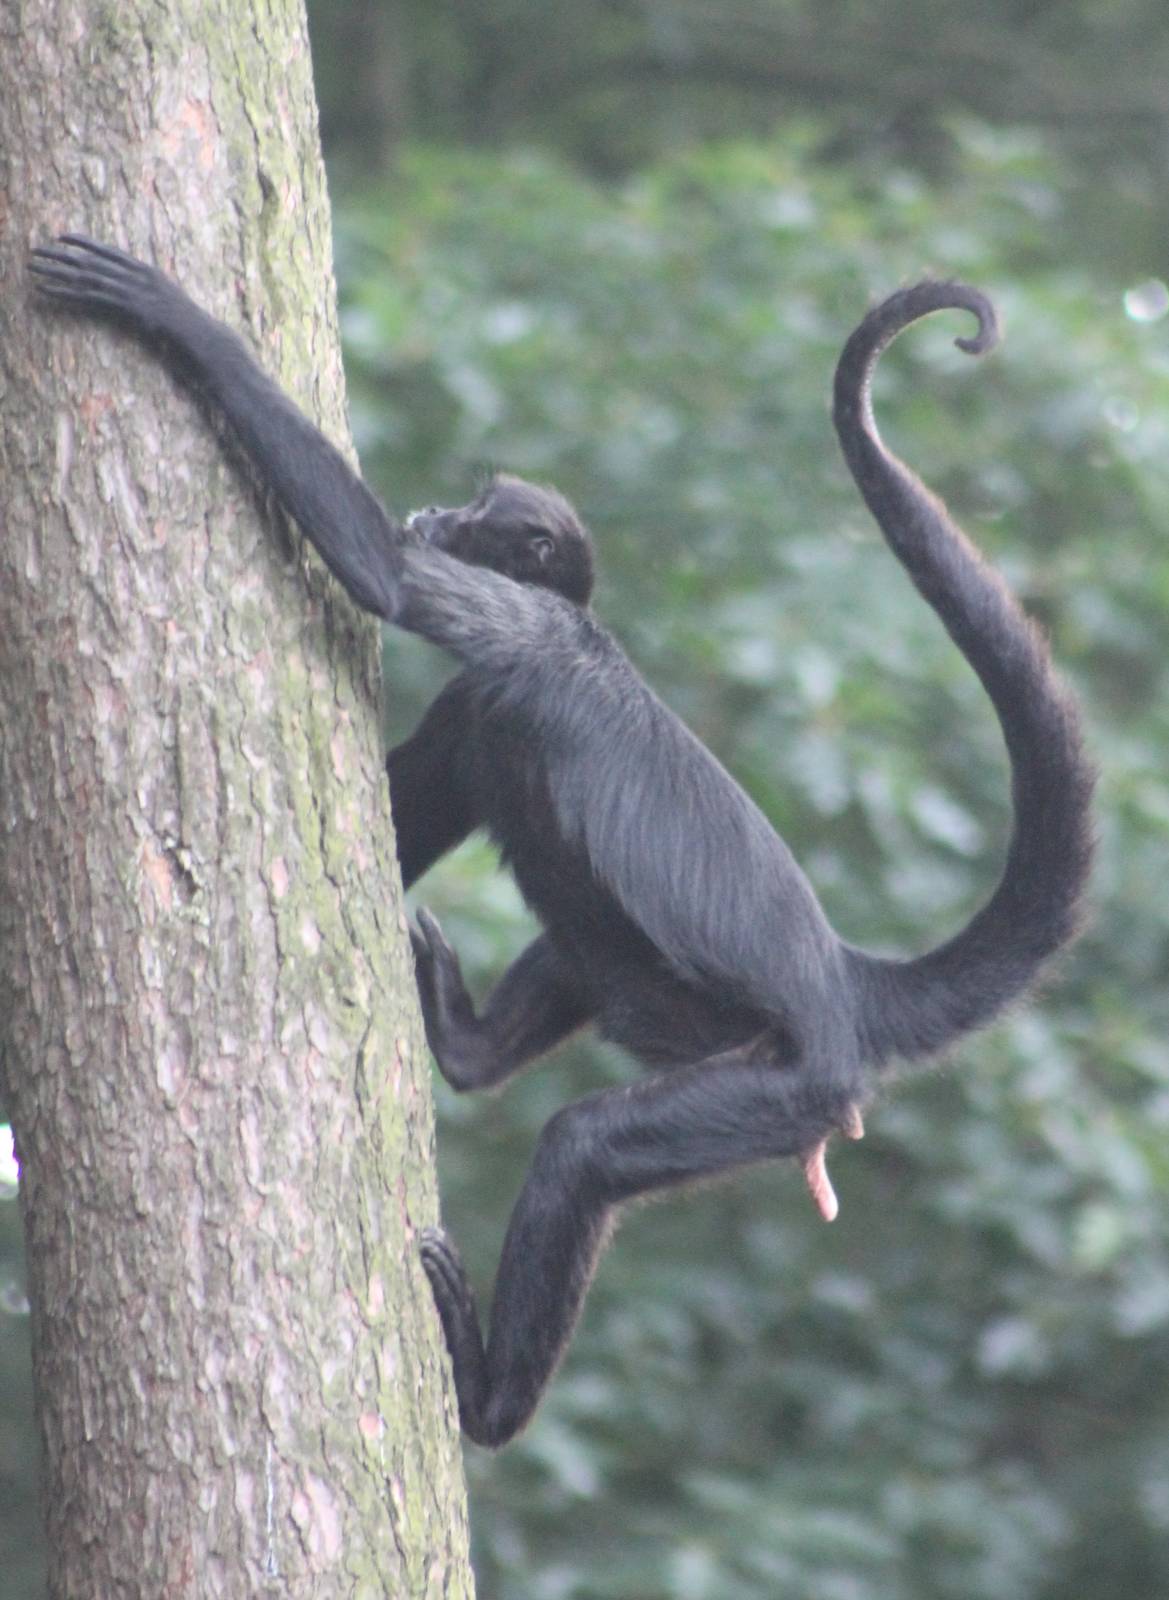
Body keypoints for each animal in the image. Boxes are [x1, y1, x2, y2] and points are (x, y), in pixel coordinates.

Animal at [29, 236, 1094, 1449]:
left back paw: (487, 1399)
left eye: (474, 510)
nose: (437, 506)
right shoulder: (487, 692)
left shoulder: (522, 640)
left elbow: (384, 576)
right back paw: (468, 1048)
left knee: (585, 1146)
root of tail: (840, 980)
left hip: (790, 1084)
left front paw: (174, 316)